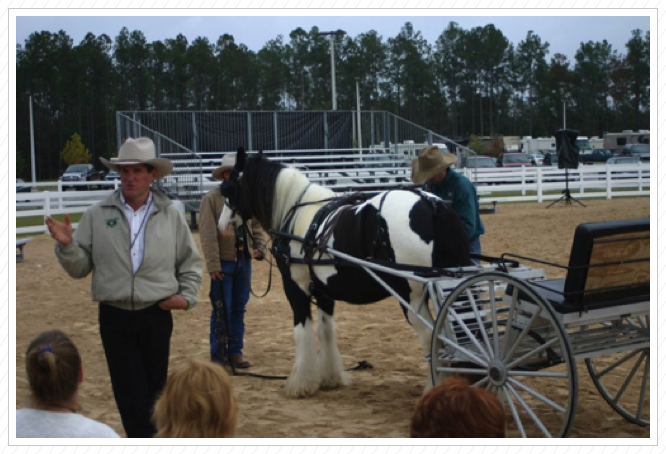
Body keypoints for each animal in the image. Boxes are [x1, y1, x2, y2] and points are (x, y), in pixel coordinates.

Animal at [220, 150, 470, 398]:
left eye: (229, 187)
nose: (222, 226)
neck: (296, 216)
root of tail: (431, 203)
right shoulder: (324, 292)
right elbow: (326, 330)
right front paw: (330, 377)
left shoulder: (296, 287)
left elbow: (302, 331)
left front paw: (300, 384)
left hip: (412, 297)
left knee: (432, 338)